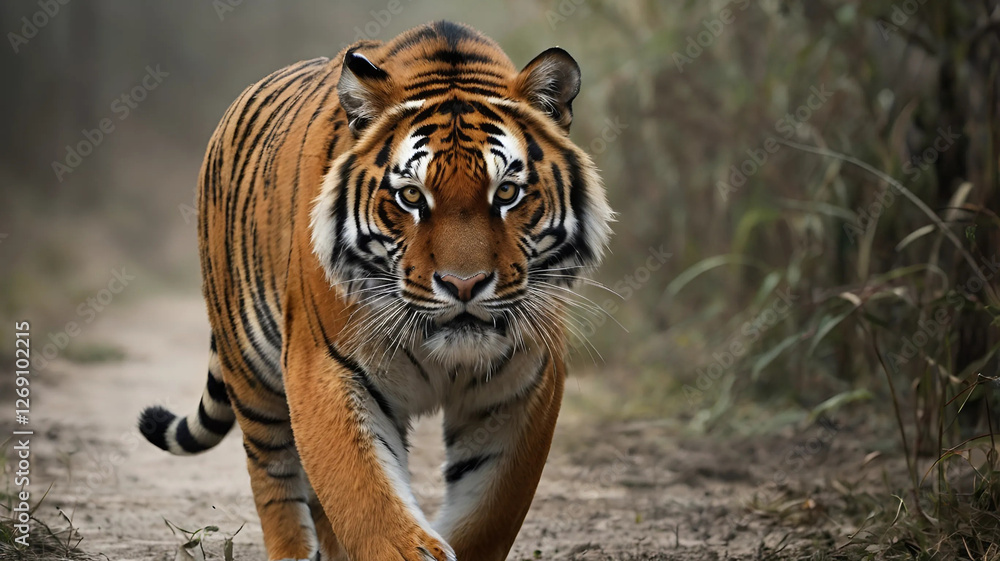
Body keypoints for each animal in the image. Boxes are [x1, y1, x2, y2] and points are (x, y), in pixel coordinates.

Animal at [138, 20, 612, 561]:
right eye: (411, 197)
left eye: (507, 193)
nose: (463, 285)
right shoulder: (325, 366)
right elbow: (365, 494)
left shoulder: (523, 383)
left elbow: (489, 511)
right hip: (251, 370)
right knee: (273, 476)